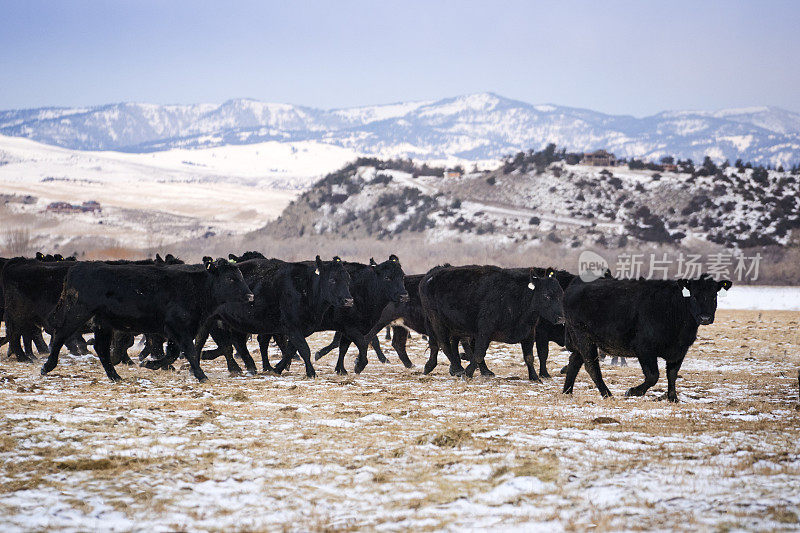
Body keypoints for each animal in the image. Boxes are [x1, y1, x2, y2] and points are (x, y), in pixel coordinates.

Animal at [40, 258, 252, 380]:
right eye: (230, 279)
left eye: (241, 276)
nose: (250, 296)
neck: (194, 288)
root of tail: (78, 267)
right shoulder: (179, 327)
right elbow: (190, 352)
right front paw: (201, 376)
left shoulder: (178, 330)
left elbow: (173, 353)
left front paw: (150, 364)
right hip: (78, 313)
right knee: (60, 335)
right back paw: (47, 367)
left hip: (102, 322)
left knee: (101, 348)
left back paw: (115, 376)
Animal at [418, 264, 564, 376]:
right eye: (546, 295)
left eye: (561, 294)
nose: (561, 318)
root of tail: (432, 274)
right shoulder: (485, 330)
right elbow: (478, 354)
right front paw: (468, 373)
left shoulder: (529, 332)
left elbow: (529, 357)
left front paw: (534, 377)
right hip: (436, 321)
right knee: (444, 344)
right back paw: (458, 369)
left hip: (454, 326)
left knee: (445, 343)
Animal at [564, 274, 732, 400]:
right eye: (694, 296)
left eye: (714, 297)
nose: (705, 318)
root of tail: (575, 284)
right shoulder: (644, 348)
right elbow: (653, 376)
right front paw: (632, 391)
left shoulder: (680, 350)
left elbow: (672, 374)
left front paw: (673, 398)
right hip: (583, 336)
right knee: (591, 366)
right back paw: (607, 394)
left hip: (581, 338)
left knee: (574, 362)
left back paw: (567, 392)